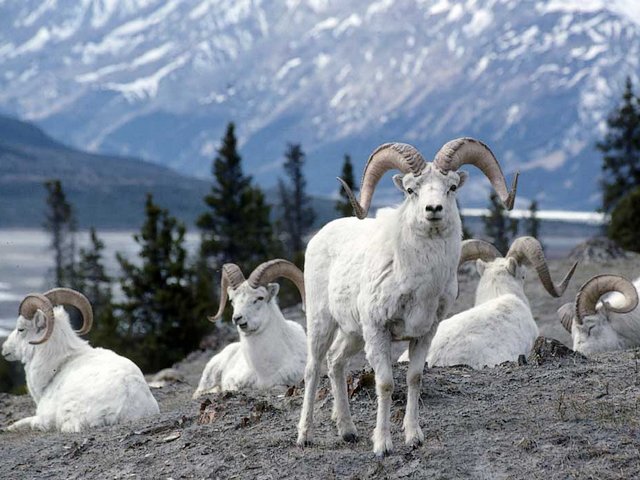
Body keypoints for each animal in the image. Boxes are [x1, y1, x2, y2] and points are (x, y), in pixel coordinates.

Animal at [296, 138, 519, 457]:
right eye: (412, 189)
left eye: (451, 187)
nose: (433, 209)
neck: (418, 280)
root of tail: (319, 236)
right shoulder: (378, 331)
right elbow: (386, 384)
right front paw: (383, 445)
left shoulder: (423, 334)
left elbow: (414, 379)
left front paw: (414, 437)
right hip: (321, 322)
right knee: (313, 368)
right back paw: (304, 435)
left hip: (353, 334)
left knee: (335, 362)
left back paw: (348, 431)